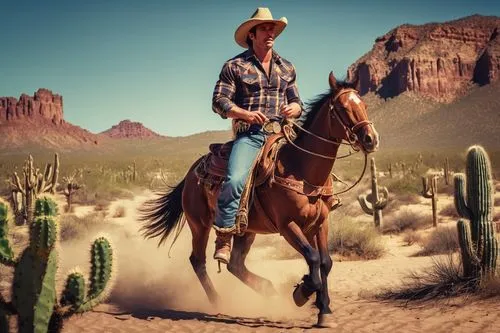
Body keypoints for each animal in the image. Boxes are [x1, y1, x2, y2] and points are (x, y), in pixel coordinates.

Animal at [139, 71, 376, 326]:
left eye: (364, 105)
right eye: (342, 107)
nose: (371, 138)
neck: (301, 169)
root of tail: (191, 173)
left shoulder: (320, 223)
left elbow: (325, 262)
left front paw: (324, 310)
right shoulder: (287, 225)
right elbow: (312, 258)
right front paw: (302, 292)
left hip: (246, 230)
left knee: (235, 264)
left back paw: (267, 289)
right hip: (199, 224)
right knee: (198, 261)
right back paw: (217, 301)